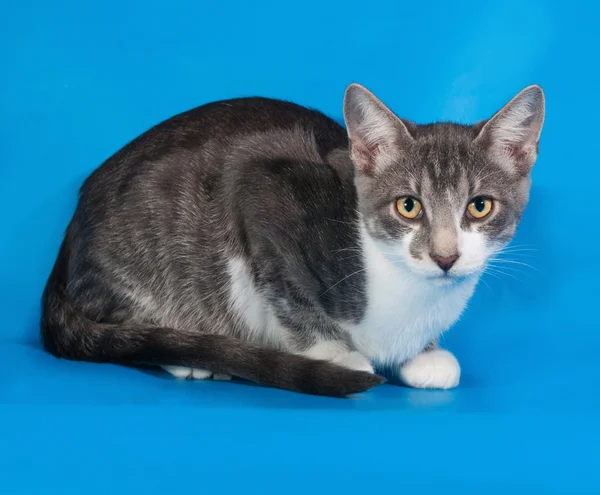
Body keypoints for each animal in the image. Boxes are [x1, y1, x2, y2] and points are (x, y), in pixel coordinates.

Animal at [41, 83, 544, 398]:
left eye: (479, 207)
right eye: (408, 206)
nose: (445, 257)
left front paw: (426, 354)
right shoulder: (263, 193)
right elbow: (290, 296)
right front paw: (337, 357)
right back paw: (188, 353)